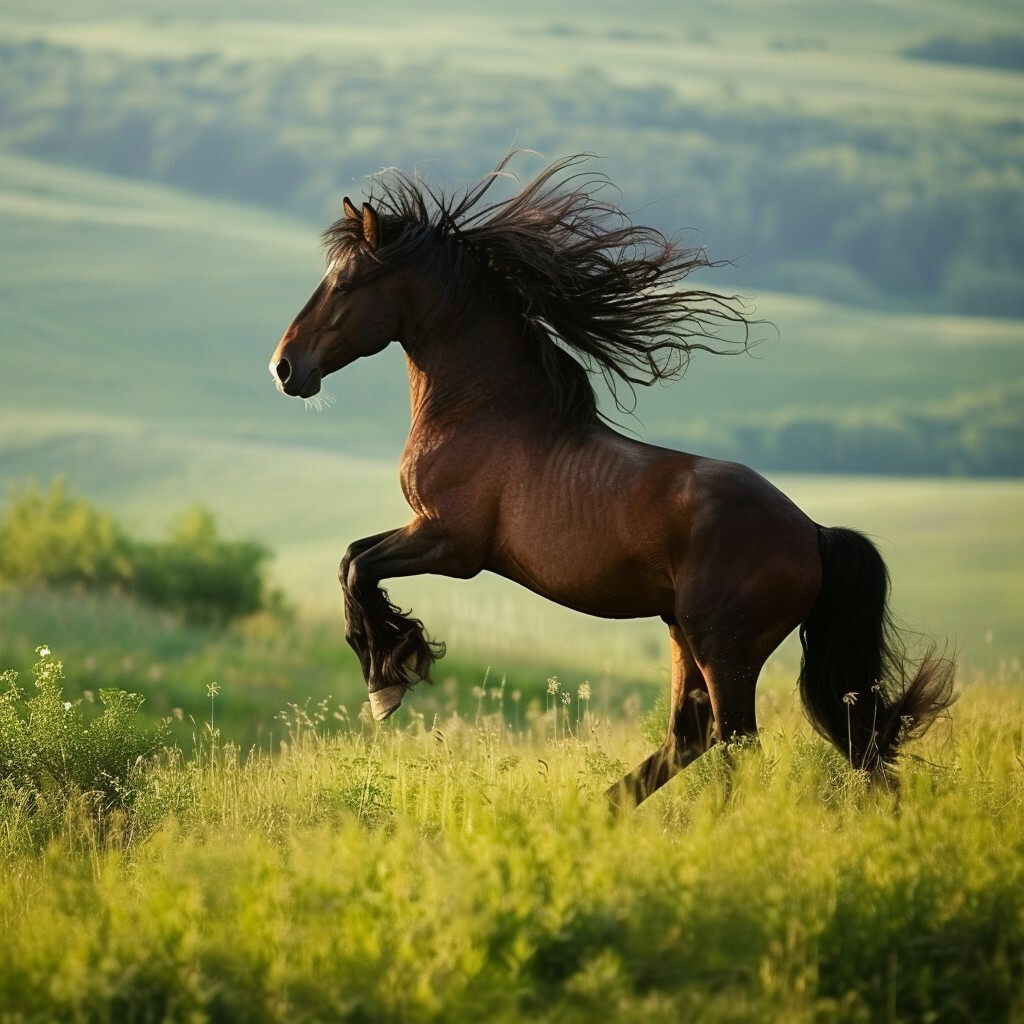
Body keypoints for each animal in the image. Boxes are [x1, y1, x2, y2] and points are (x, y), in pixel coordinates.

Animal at [269, 153, 955, 809]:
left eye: (346, 283)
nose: (284, 368)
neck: (482, 410)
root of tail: (813, 533)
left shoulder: (451, 544)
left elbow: (357, 568)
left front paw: (389, 679)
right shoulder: (427, 533)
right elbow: (352, 558)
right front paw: (395, 661)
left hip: (725, 649)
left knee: (737, 743)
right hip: (684, 634)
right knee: (700, 736)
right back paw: (599, 814)